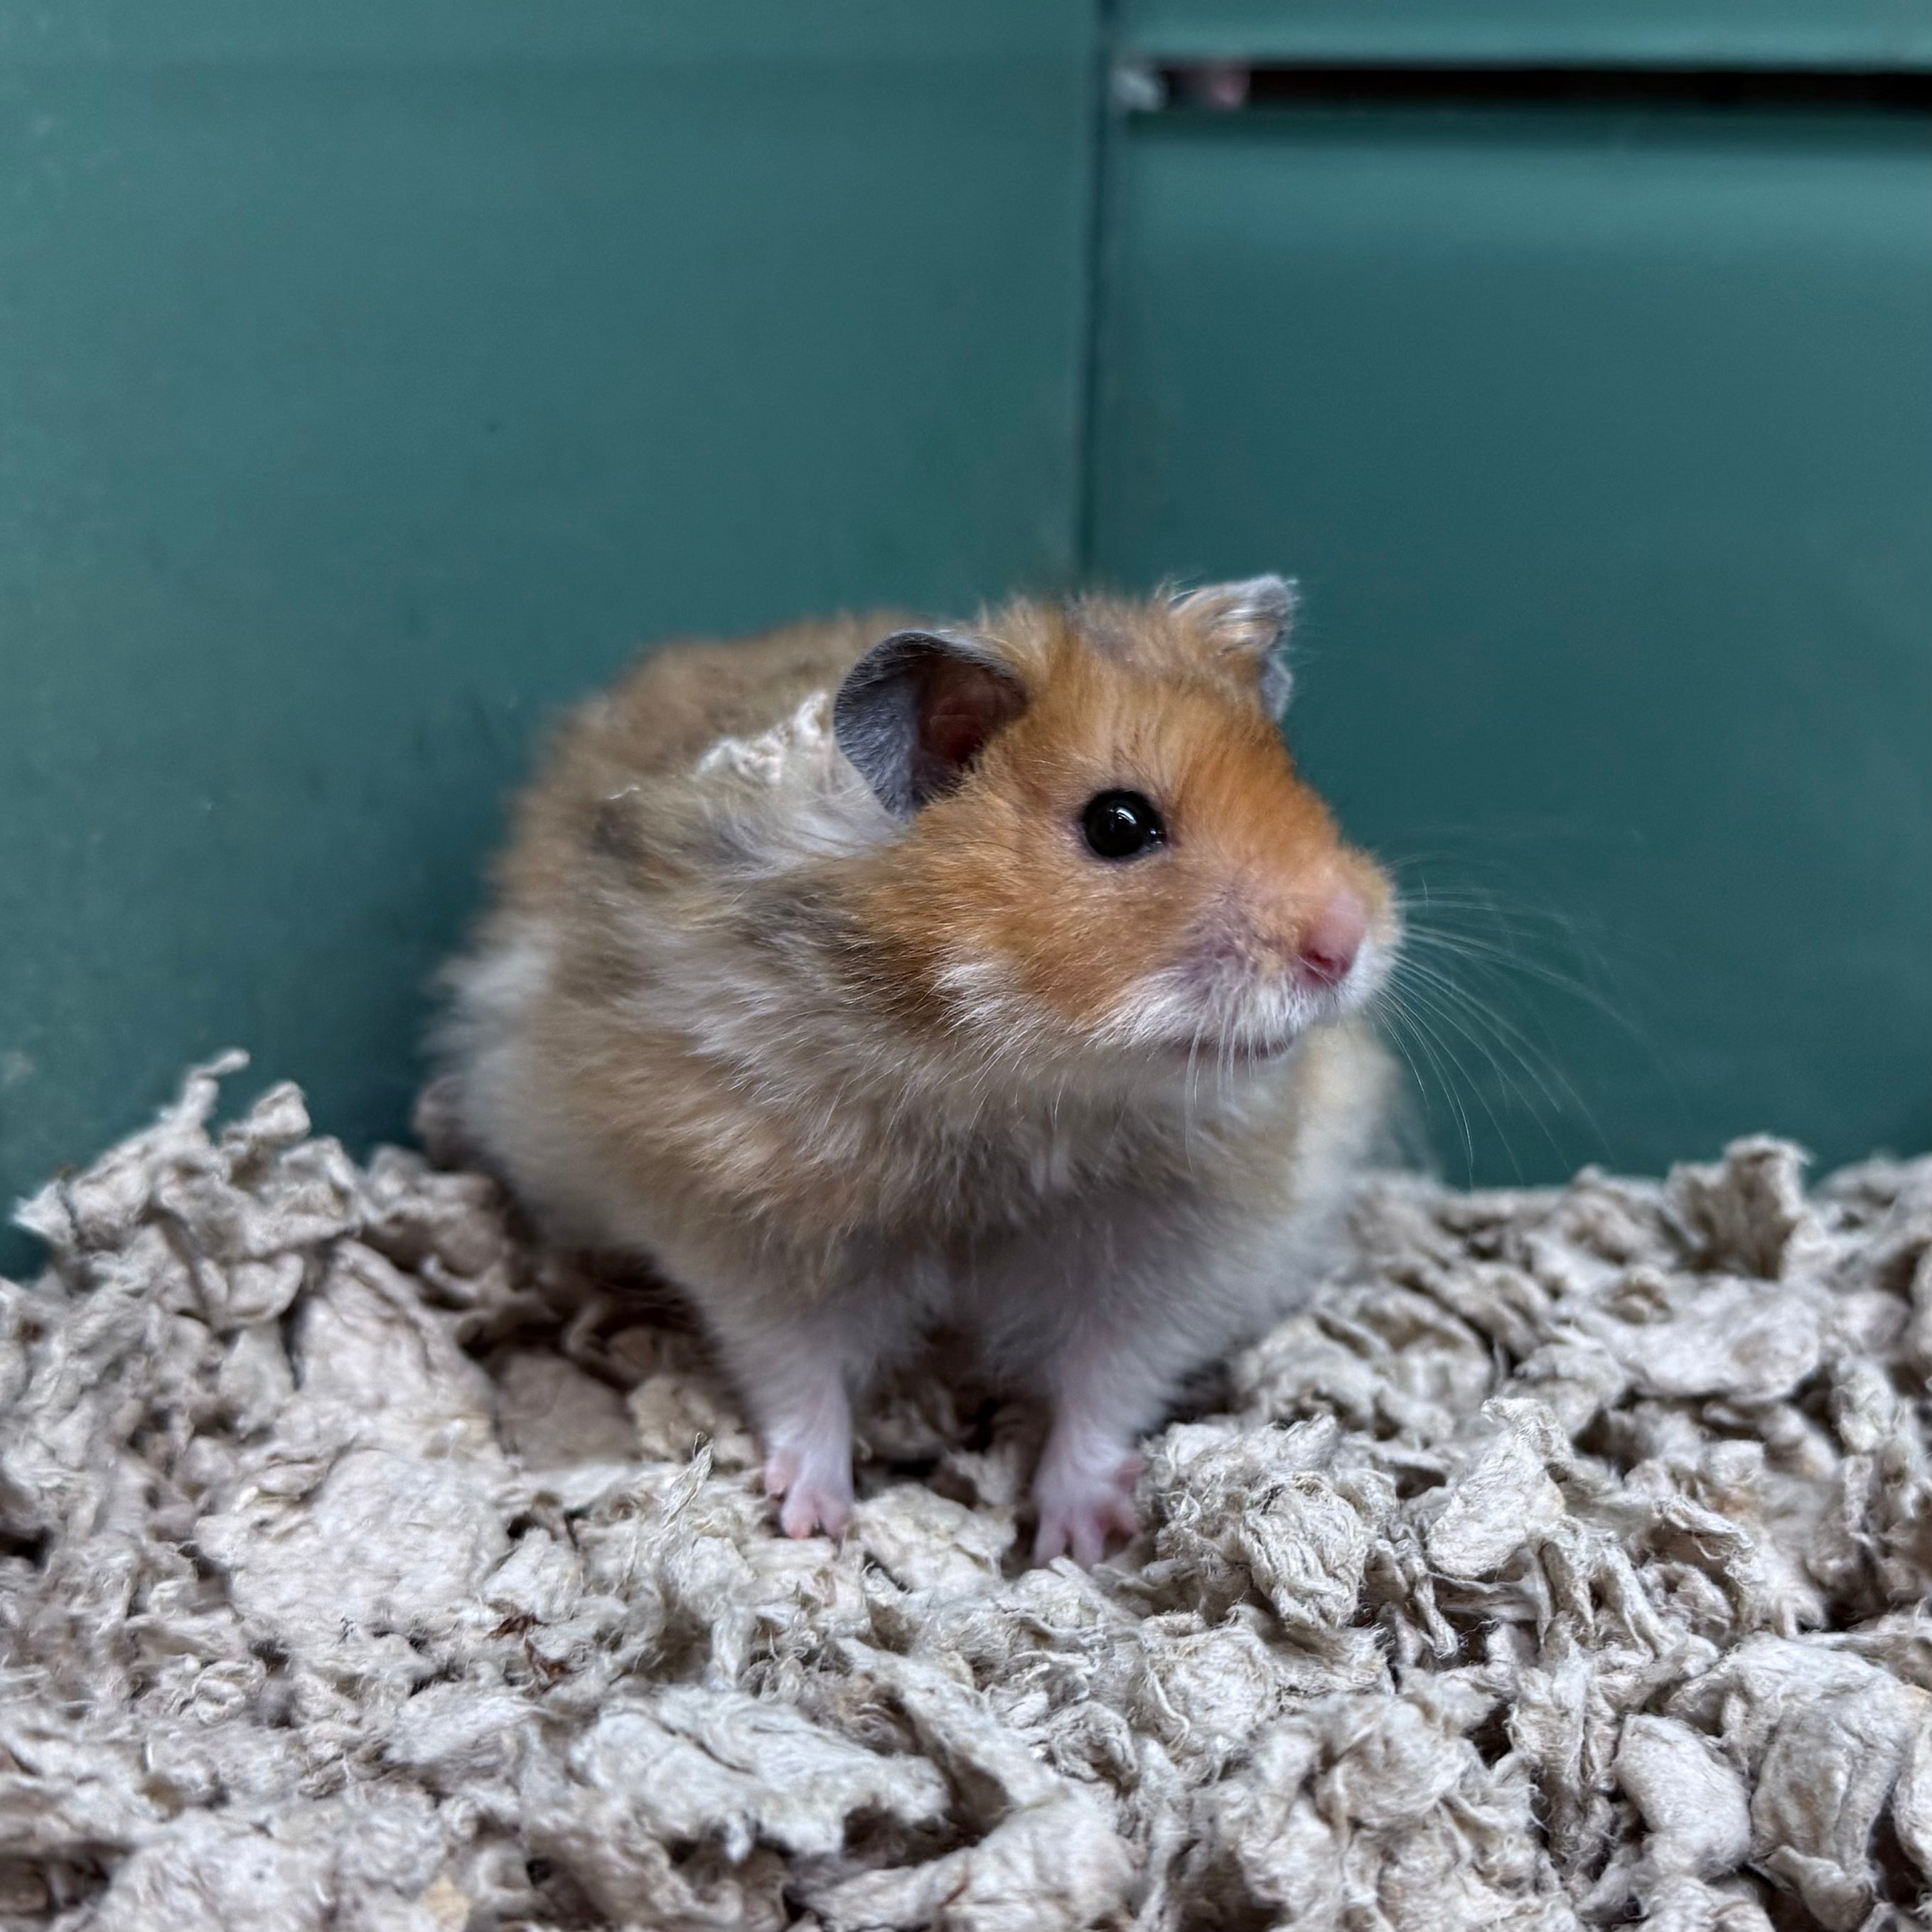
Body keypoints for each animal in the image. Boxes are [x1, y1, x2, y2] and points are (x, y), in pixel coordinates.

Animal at [439, 579, 1399, 1564]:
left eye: (1293, 777)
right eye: (1119, 825)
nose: (1346, 943)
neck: (1003, 1086)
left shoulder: (1169, 1251)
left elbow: (1107, 1384)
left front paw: (1083, 1540)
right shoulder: (746, 1221)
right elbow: (795, 1370)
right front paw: (812, 1519)